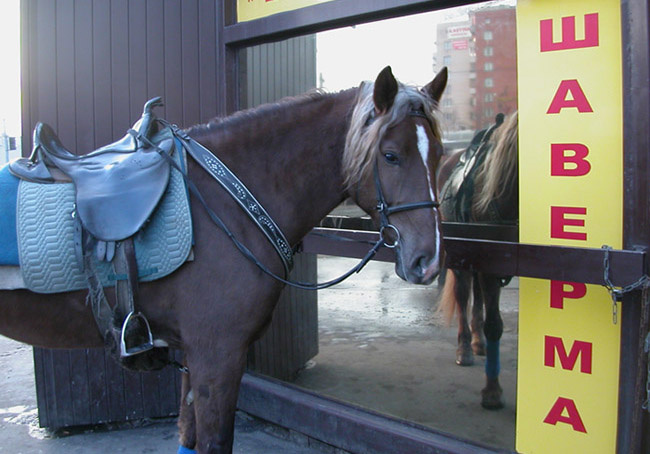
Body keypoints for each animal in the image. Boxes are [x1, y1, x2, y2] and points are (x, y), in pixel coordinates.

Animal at [0, 66, 448, 454]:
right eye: (390, 155)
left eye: (441, 154)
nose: (427, 260)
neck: (224, 200)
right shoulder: (218, 356)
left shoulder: (194, 358)